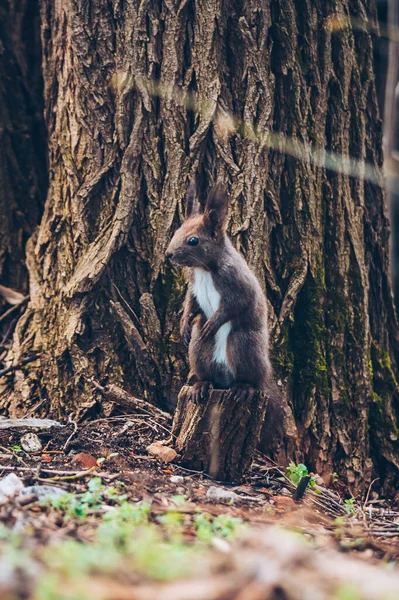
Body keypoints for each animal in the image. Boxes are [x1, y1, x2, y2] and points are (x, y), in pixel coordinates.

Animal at [167, 180, 286, 428]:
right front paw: (183, 324)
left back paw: (244, 388)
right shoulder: (193, 286)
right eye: (176, 232)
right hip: (199, 351)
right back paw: (201, 385)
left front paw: (213, 322)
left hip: (244, 344)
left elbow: (233, 306)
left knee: (251, 379)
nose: (169, 255)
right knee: (206, 370)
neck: (205, 269)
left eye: (193, 240)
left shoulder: (238, 283)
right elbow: (191, 304)